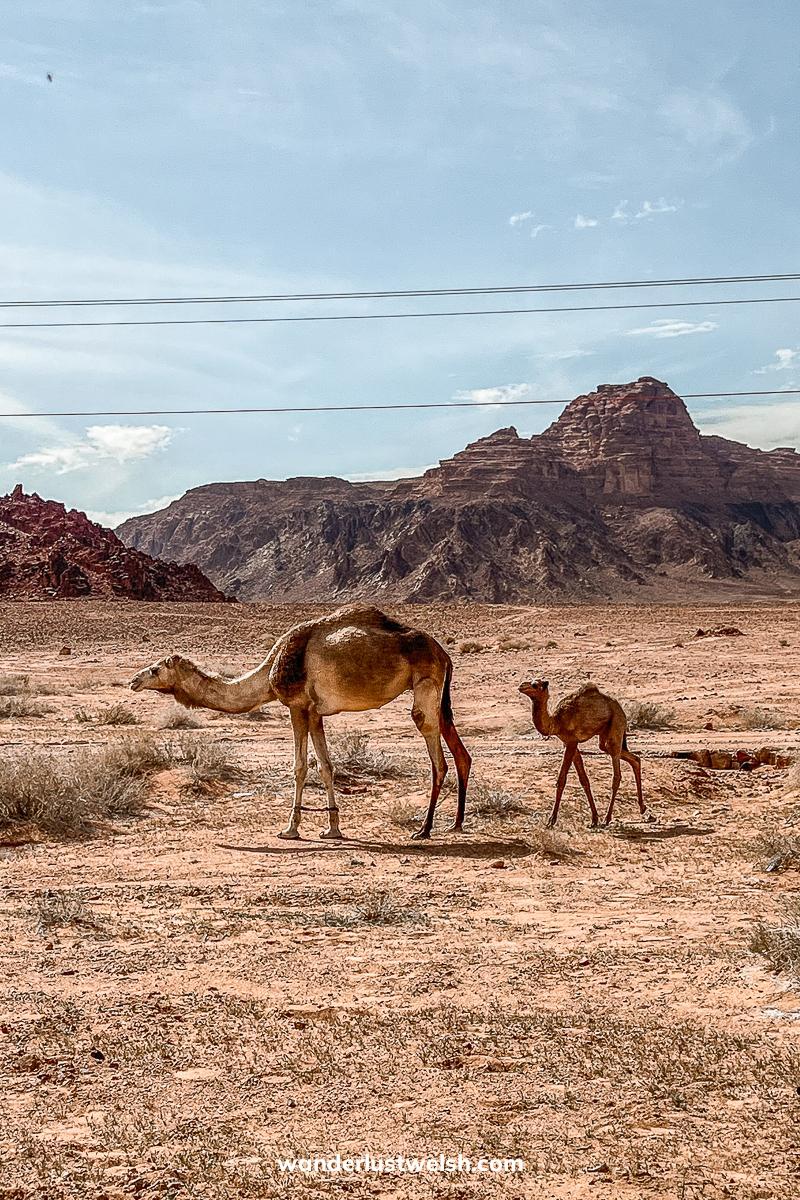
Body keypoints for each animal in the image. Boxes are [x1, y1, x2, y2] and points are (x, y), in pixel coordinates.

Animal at [130, 605, 471, 841]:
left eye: (156, 669)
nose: (134, 680)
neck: (269, 673)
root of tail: (444, 653)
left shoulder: (296, 705)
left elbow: (300, 766)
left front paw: (290, 828)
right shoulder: (315, 711)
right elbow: (326, 766)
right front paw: (333, 828)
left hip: (426, 685)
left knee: (436, 754)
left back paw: (424, 829)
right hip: (440, 696)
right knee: (460, 753)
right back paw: (455, 823)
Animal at [518, 679, 647, 828]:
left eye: (535, 685)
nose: (521, 686)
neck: (556, 722)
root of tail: (620, 708)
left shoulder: (572, 741)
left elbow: (561, 780)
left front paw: (551, 820)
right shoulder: (568, 743)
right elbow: (584, 779)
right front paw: (594, 819)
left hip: (616, 724)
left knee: (617, 773)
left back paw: (607, 819)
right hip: (604, 737)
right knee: (633, 758)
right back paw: (642, 808)